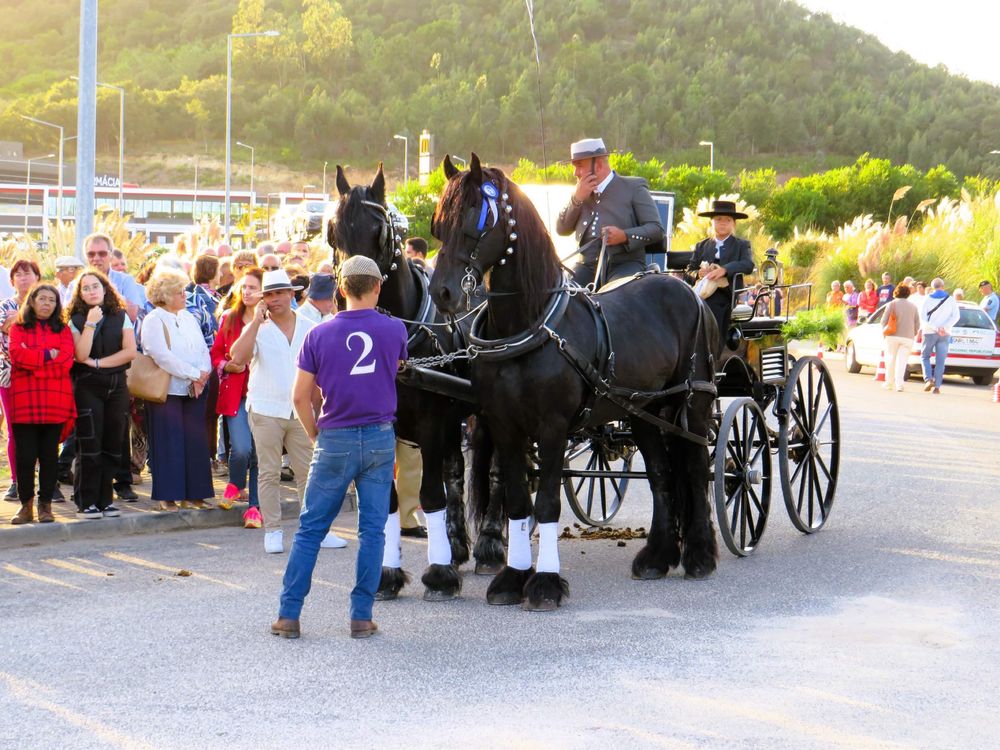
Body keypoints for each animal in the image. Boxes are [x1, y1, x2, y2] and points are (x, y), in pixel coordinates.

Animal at [326, 164, 470, 600]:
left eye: (379, 231)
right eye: (332, 231)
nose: (346, 296)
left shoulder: (433, 422)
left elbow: (430, 493)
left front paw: (439, 573)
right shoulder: (380, 424)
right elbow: (386, 499)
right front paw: (386, 574)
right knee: (456, 471)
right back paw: (458, 546)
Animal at [430, 154, 720, 612]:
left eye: (477, 217)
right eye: (438, 222)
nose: (441, 292)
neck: (531, 325)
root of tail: (687, 288)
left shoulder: (552, 428)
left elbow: (547, 503)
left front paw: (546, 583)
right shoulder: (505, 425)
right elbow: (517, 501)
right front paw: (512, 577)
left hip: (693, 404)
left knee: (692, 469)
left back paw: (699, 556)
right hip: (645, 412)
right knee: (660, 473)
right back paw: (657, 556)